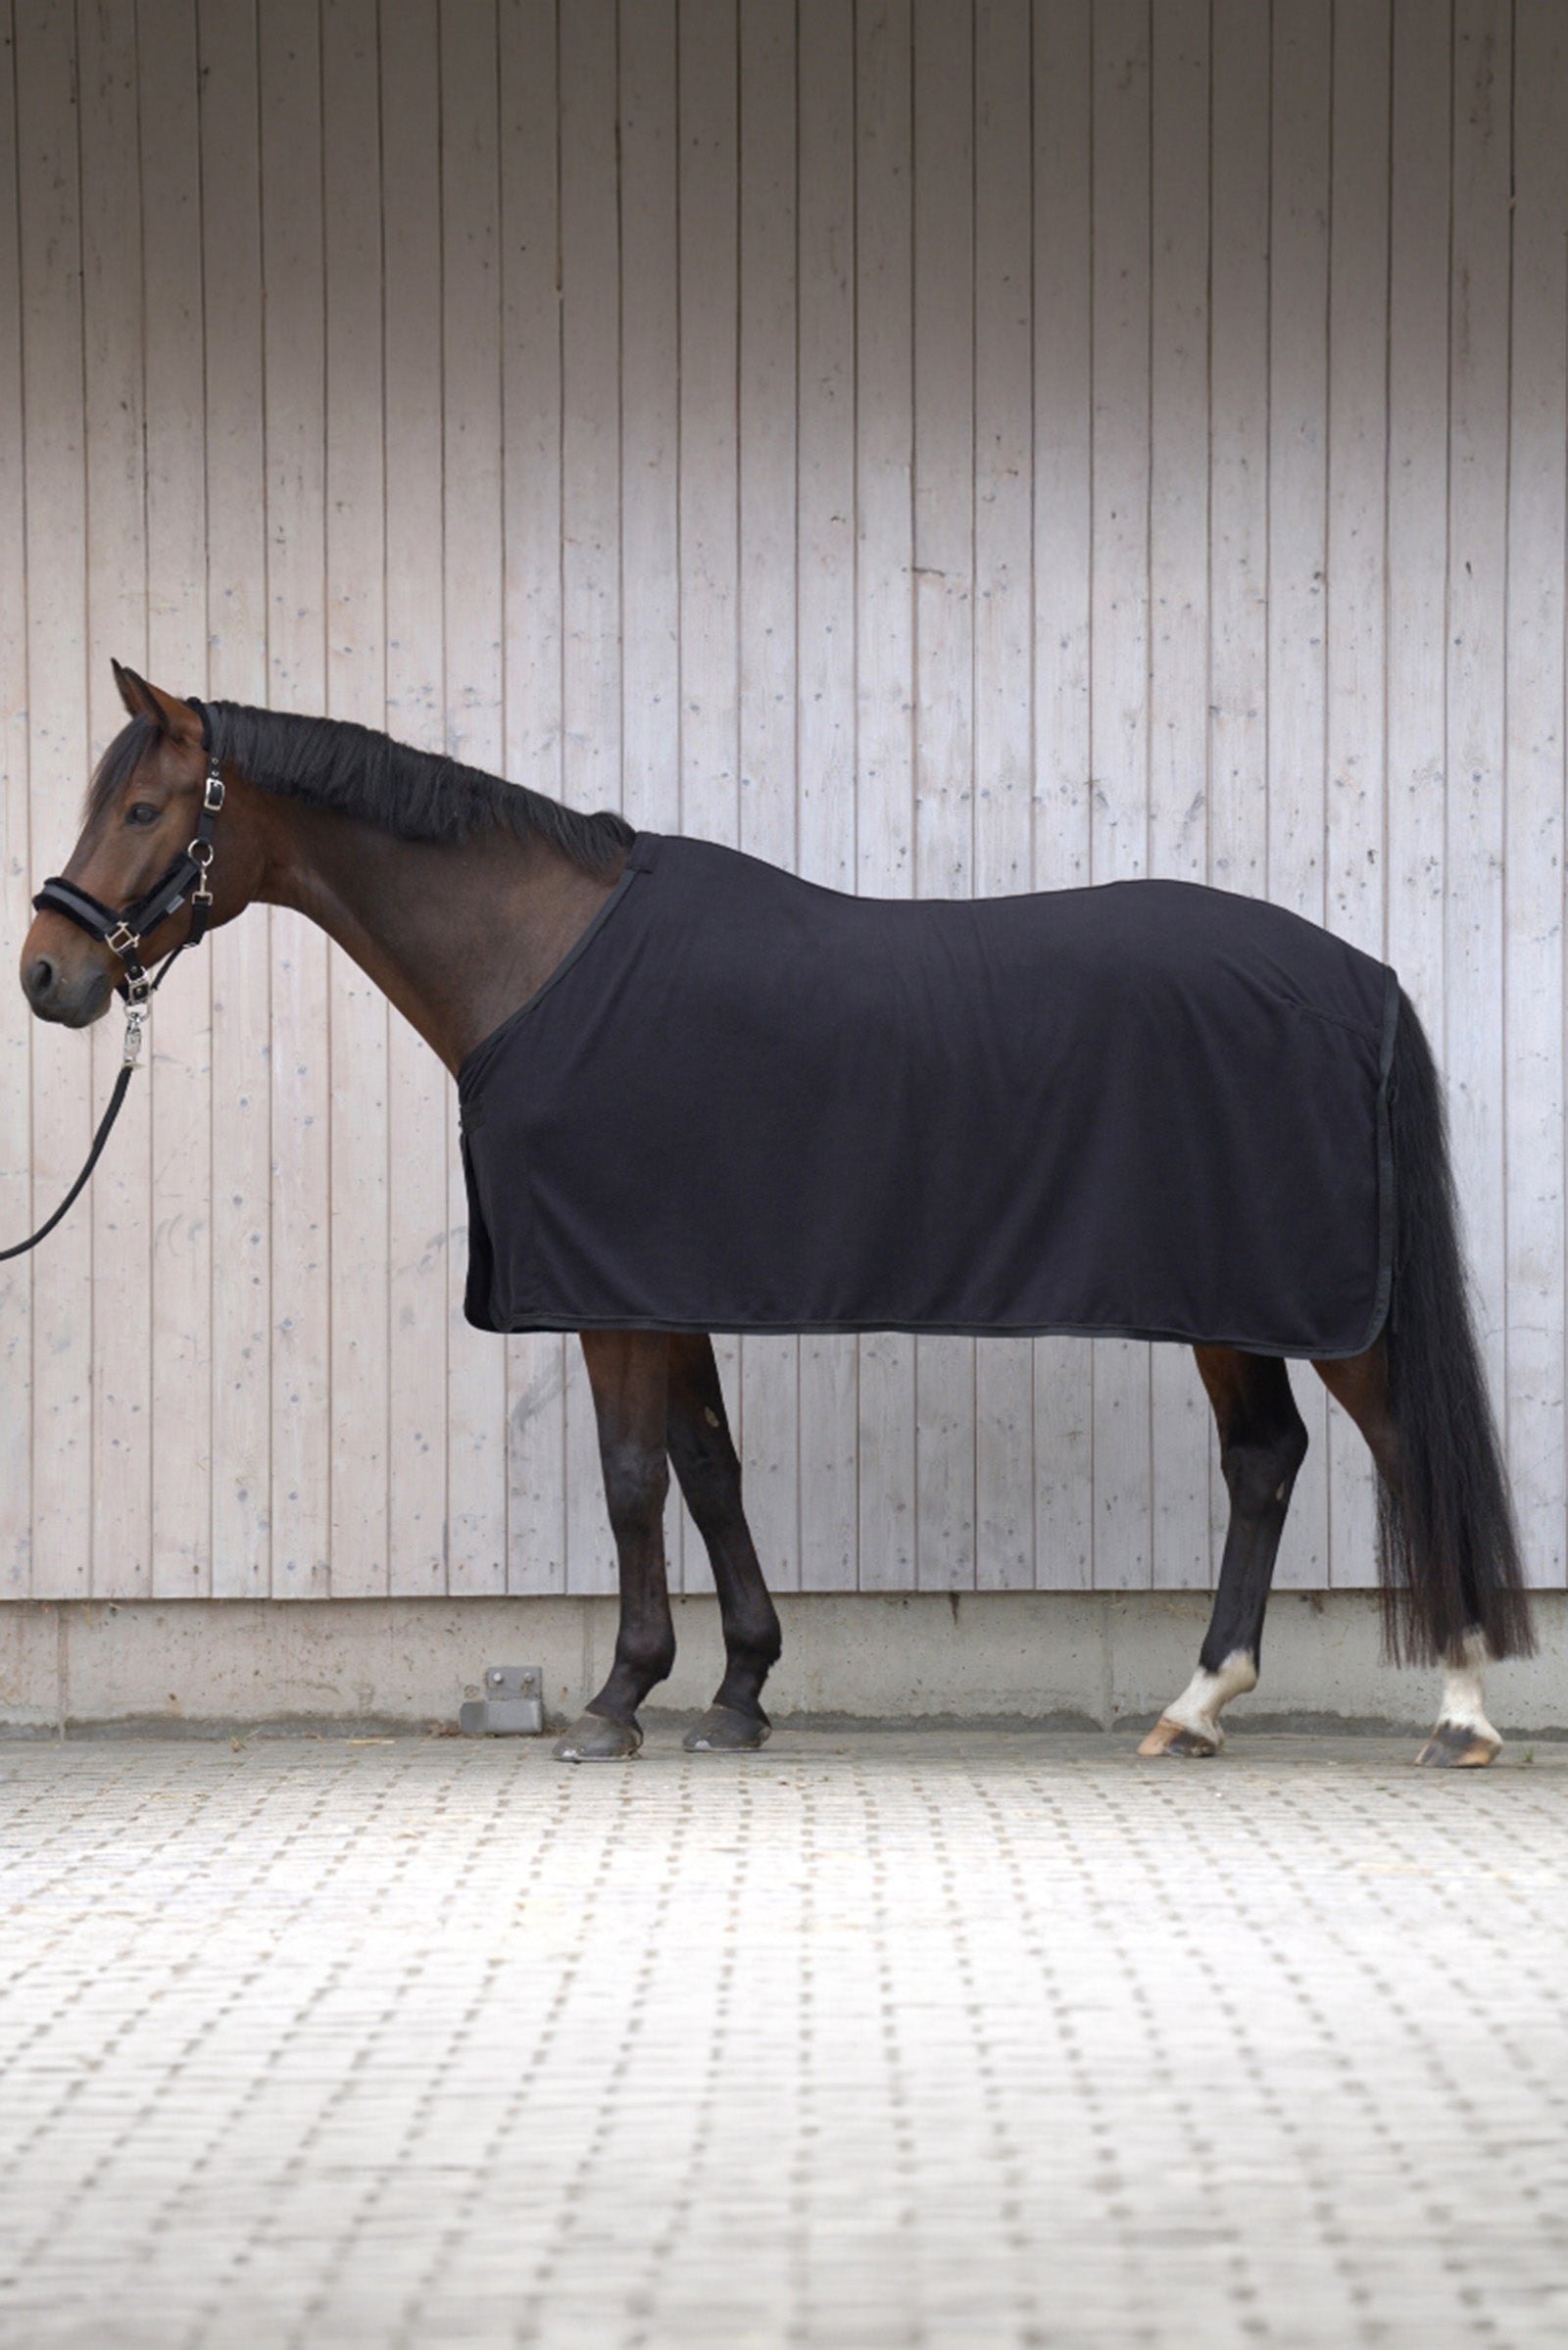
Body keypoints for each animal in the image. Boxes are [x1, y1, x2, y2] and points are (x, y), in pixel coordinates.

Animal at [18, 663, 1535, 1766]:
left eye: (145, 812)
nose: (46, 975)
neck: (542, 958)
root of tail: (1358, 976)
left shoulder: (611, 1289)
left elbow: (633, 1477)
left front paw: (616, 1703)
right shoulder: (668, 1279)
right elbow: (709, 1467)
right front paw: (738, 1692)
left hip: (1304, 1305)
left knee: (1397, 1442)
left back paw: (1458, 1711)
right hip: (1230, 1303)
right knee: (1267, 1459)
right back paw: (1197, 1705)